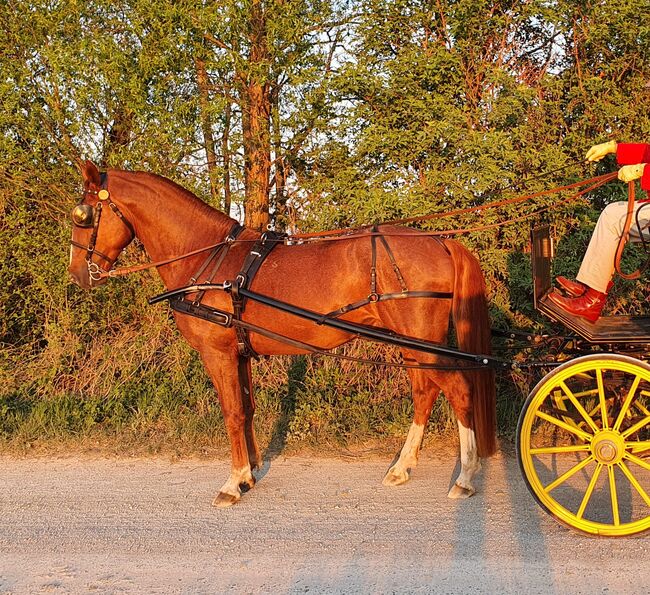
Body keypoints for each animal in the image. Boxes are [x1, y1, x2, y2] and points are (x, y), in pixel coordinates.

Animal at [67, 162, 496, 508]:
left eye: (83, 216)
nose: (77, 275)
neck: (207, 258)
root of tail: (441, 240)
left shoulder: (218, 353)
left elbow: (232, 412)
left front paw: (231, 484)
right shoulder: (239, 352)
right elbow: (247, 409)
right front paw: (248, 475)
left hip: (423, 343)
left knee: (459, 390)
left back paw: (464, 478)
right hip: (412, 345)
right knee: (425, 393)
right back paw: (403, 467)